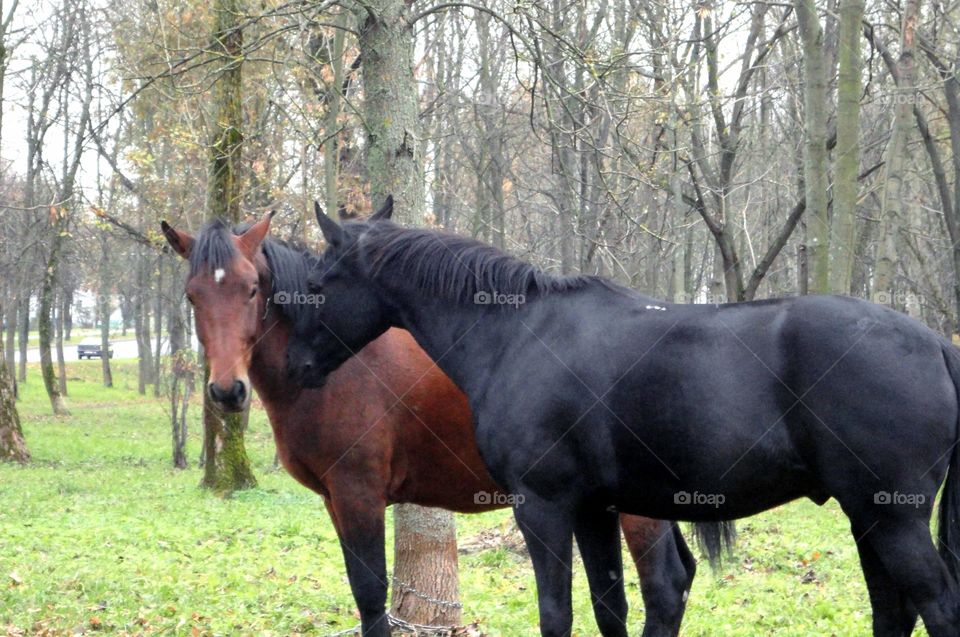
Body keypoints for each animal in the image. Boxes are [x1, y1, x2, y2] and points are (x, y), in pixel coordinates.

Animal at [161, 215, 692, 636]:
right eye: (193, 296)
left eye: (251, 288)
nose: (227, 390)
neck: (338, 368)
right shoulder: (335, 500)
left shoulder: (358, 494)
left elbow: (371, 595)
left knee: (662, 589)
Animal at [286, 199, 960, 636]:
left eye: (318, 283)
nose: (297, 366)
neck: (515, 335)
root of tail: (936, 344)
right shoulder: (595, 509)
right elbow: (610, 609)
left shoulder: (544, 507)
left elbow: (557, 614)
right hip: (865, 517)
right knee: (893, 612)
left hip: (891, 515)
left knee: (936, 606)